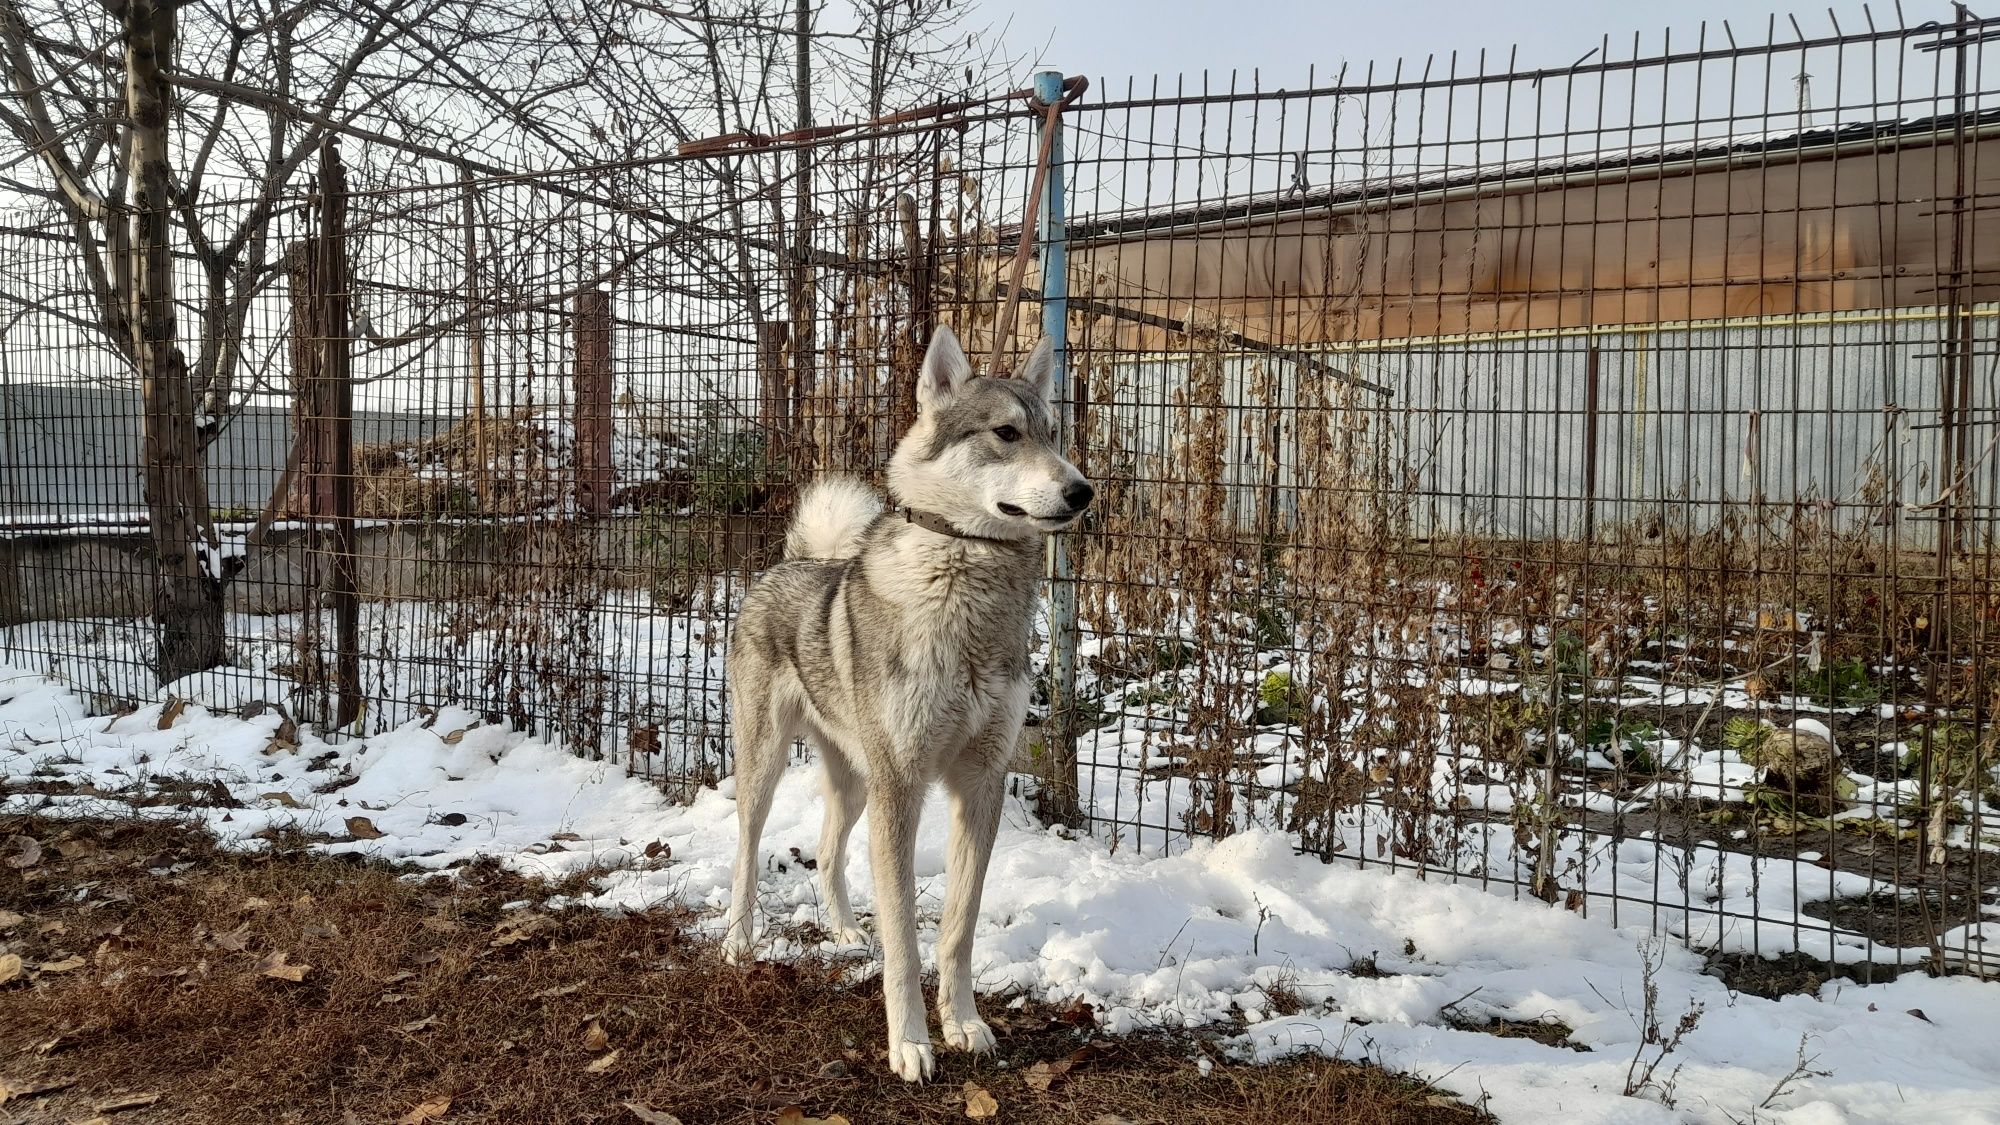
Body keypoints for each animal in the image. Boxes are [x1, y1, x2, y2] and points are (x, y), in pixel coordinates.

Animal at [724, 324, 1096, 1080]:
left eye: (1052, 434)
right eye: (1006, 433)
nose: (1083, 491)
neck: (966, 578)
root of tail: (789, 562)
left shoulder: (979, 783)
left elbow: (956, 930)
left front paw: (965, 1024)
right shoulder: (903, 788)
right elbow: (904, 935)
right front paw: (911, 1044)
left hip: (855, 781)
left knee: (828, 851)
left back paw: (842, 930)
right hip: (770, 769)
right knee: (746, 850)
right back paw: (740, 942)